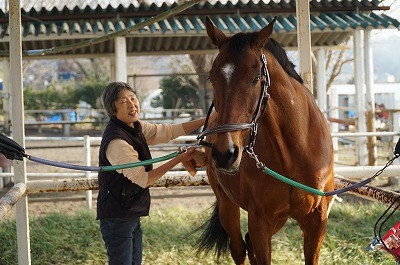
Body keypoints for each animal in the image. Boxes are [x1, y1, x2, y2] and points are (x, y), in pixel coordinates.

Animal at [195, 17, 336, 264]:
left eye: (255, 79)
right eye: (212, 77)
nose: (224, 154)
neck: (294, 152)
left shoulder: (316, 222)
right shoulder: (260, 220)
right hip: (227, 204)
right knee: (239, 247)